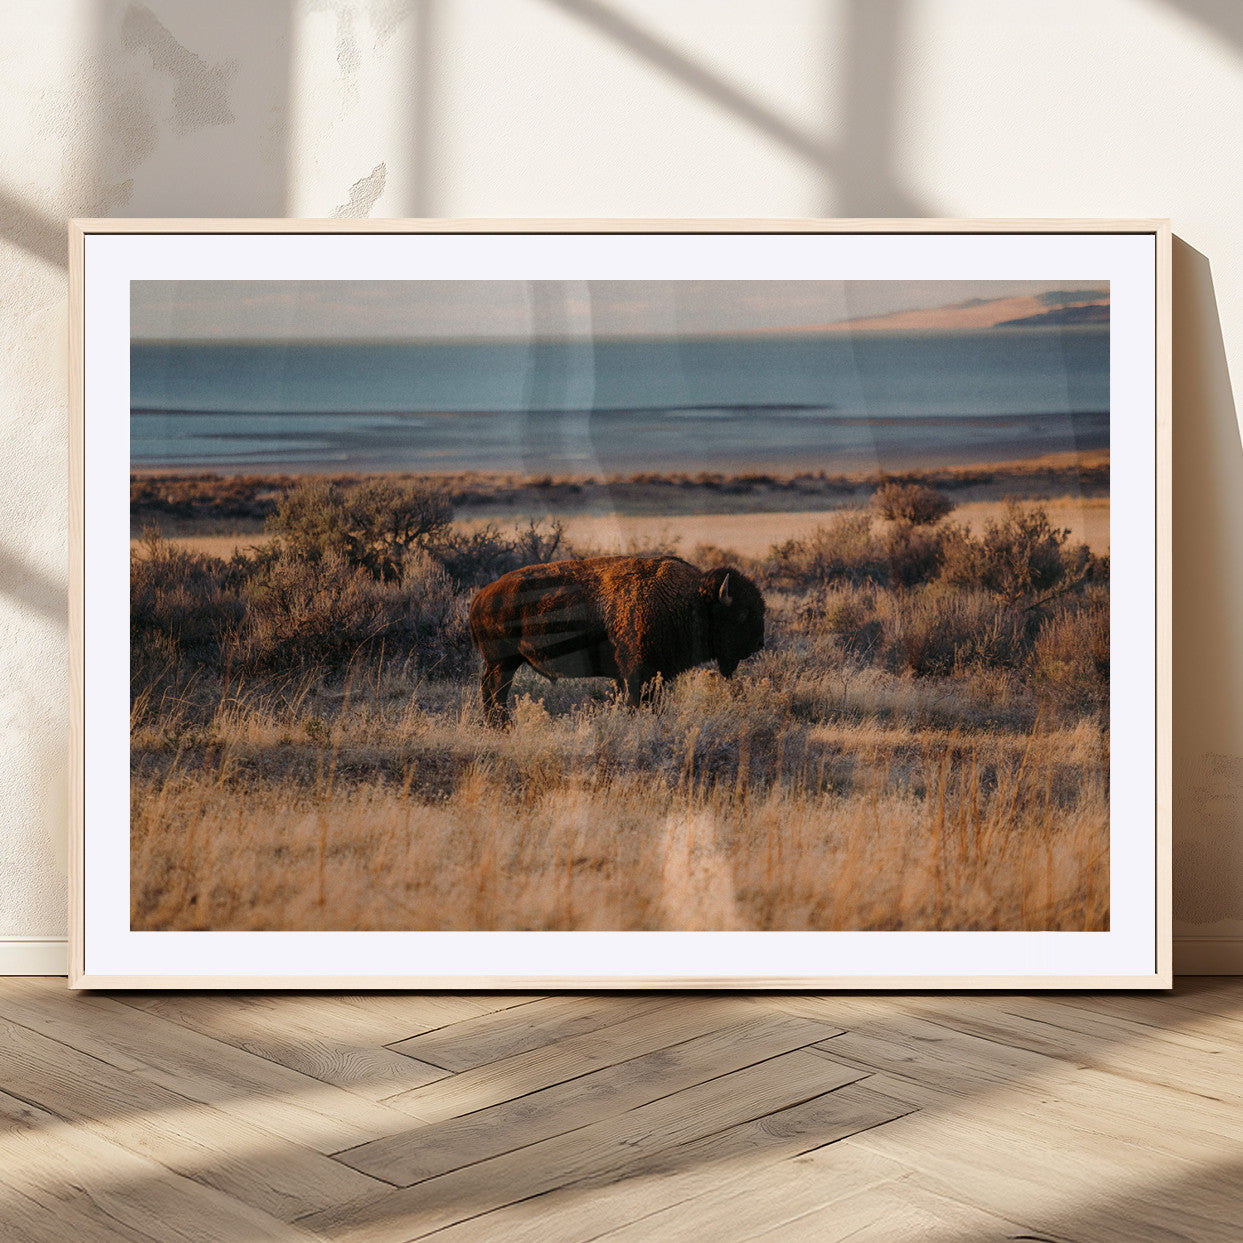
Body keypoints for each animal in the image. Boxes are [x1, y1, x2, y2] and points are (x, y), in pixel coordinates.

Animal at [469, 555, 765, 726]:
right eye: (741, 614)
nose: (759, 643)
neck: (690, 600)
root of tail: (480, 597)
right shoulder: (639, 673)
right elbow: (639, 702)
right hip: (502, 662)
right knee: (494, 690)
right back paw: (502, 726)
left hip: (504, 663)